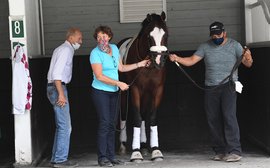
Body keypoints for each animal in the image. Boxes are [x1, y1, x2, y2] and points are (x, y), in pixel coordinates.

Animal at [117, 11, 168, 161]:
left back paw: (144, 145)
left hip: (146, 93)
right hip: (124, 92)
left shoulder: (157, 90)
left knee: (144, 114)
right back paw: (123, 145)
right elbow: (137, 118)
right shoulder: (135, 89)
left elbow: (151, 118)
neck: (149, 67)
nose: (159, 60)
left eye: (166, 35)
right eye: (149, 36)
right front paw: (136, 152)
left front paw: (156, 150)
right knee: (123, 113)